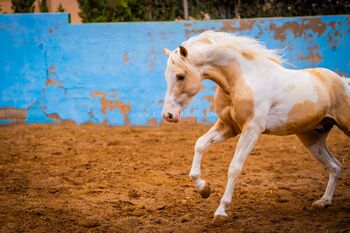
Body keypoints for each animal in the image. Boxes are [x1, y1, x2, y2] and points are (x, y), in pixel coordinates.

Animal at [161, 30, 350, 224]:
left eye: (180, 76)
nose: (168, 115)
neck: (242, 79)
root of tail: (343, 83)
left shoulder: (252, 129)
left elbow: (234, 167)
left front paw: (221, 211)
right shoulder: (228, 126)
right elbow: (200, 144)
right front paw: (204, 189)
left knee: (335, 166)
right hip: (312, 140)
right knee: (335, 167)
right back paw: (323, 202)